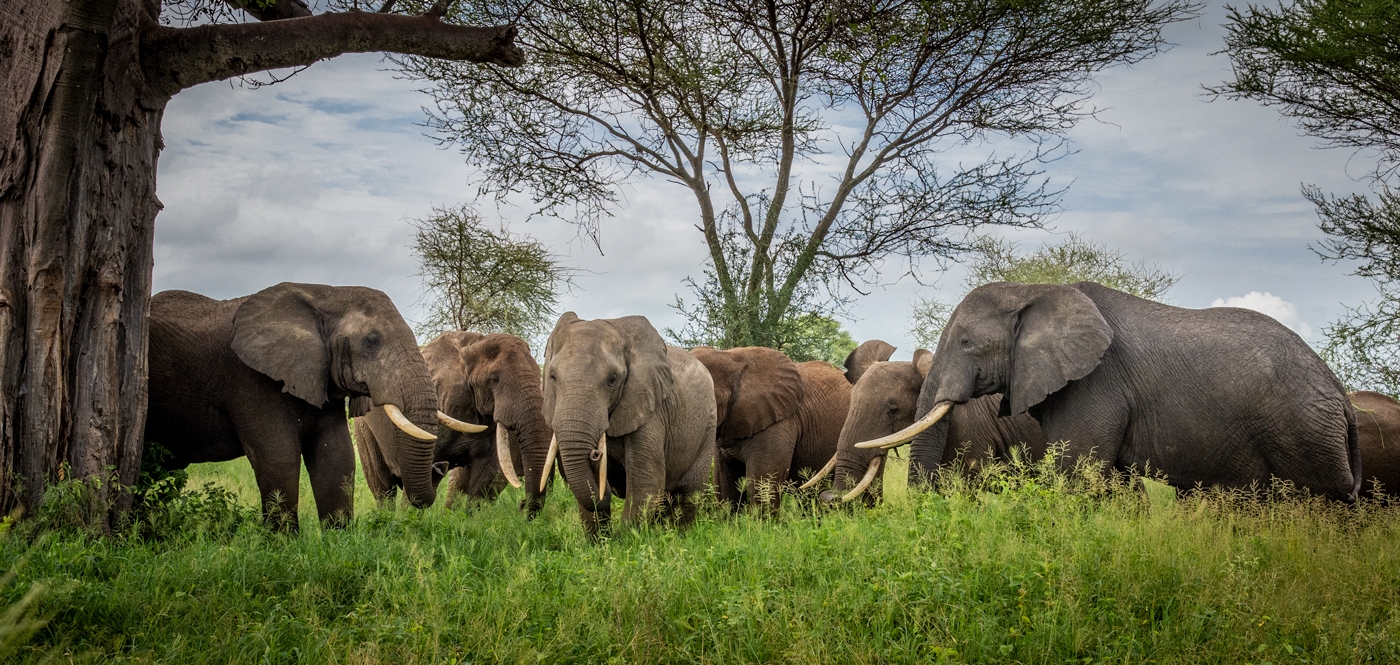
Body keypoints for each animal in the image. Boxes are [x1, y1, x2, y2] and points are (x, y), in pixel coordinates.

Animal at [144, 282, 478, 532]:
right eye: (371, 342)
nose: (441, 466)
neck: (322, 294)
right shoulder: (249, 380)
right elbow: (278, 457)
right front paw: (282, 545)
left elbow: (338, 457)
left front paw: (337, 539)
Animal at [856, 280, 1360, 498]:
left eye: (966, 343)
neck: (1035, 292)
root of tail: (1340, 394)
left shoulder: (1095, 384)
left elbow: (1077, 475)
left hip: (1305, 434)